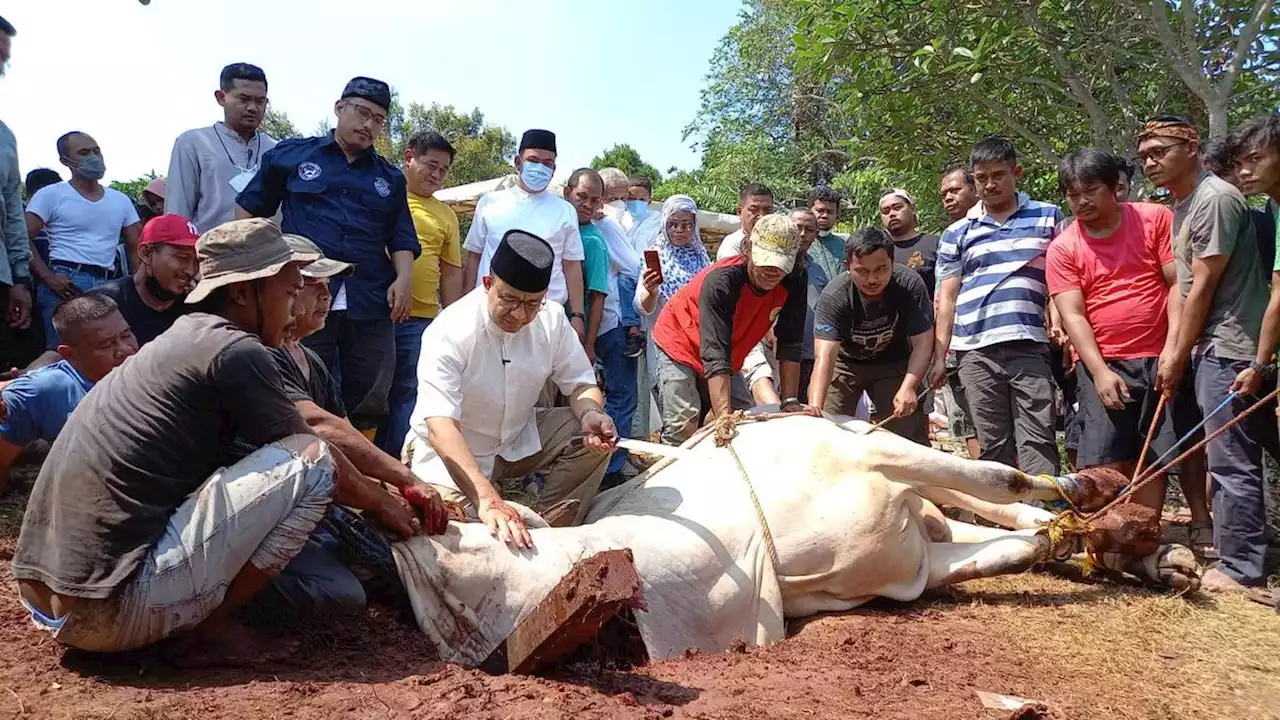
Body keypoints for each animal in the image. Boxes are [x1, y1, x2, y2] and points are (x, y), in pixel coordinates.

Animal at [391, 412, 1198, 666]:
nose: (402, 530)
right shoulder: (917, 564)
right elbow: (1020, 537)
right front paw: (1090, 531)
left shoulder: (871, 452)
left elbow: (1003, 477)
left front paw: (1088, 497)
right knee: (987, 514)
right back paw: (1139, 546)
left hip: (865, 436)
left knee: (986, 494)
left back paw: (1143, 536)